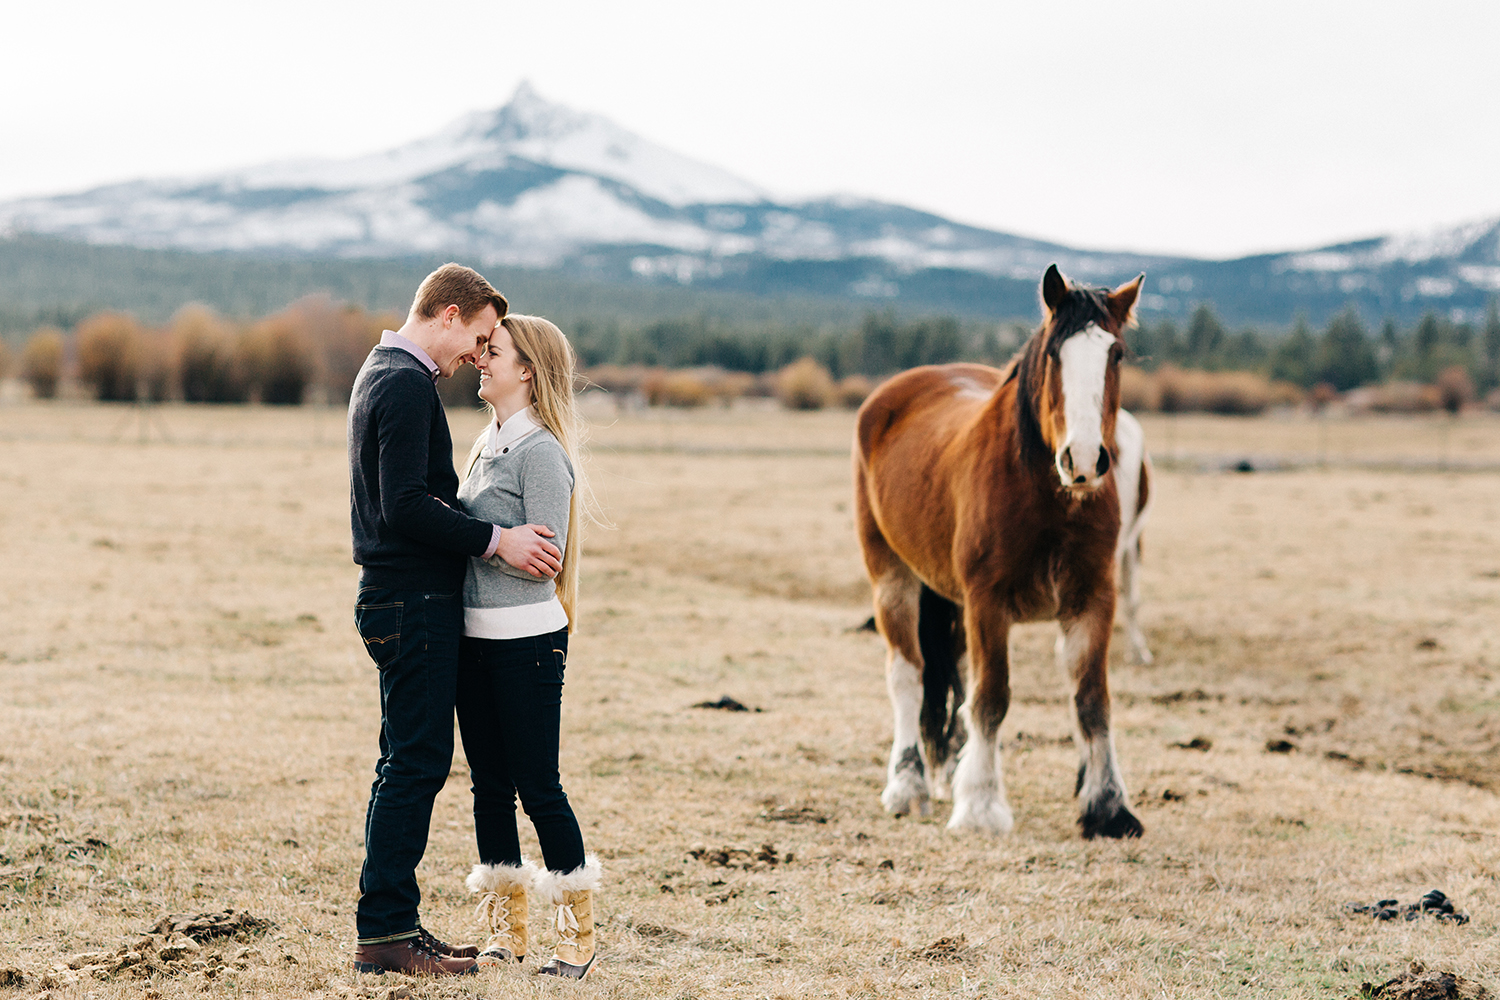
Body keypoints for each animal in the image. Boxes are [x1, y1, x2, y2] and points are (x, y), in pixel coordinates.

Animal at [858, 263, 1146, 839]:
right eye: (1055, 353)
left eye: (1117, 354)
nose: (1084, 460)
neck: (1048, 495)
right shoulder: (987, 601)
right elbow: (991, 698)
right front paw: (981, 807)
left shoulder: (1092, 598)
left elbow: (1092, 700)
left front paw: (1108, 807)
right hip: (892, 576)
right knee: (908, 674)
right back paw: (907, 785)